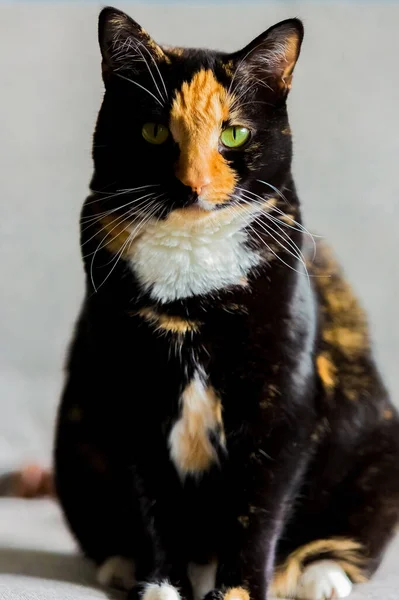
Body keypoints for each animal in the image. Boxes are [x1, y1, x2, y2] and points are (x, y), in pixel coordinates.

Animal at [54, 5, 399, 600]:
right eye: (153, 131)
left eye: (234, 132)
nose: (194, 184)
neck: (192, 289)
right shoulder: (132, 394)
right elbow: (152, 501)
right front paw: (161, 586)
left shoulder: (281, 402)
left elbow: (257, 511)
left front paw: (237, 592)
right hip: (75, 446)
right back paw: (123, 565)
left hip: (378, 447)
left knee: (346, 538)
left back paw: (321, 576)